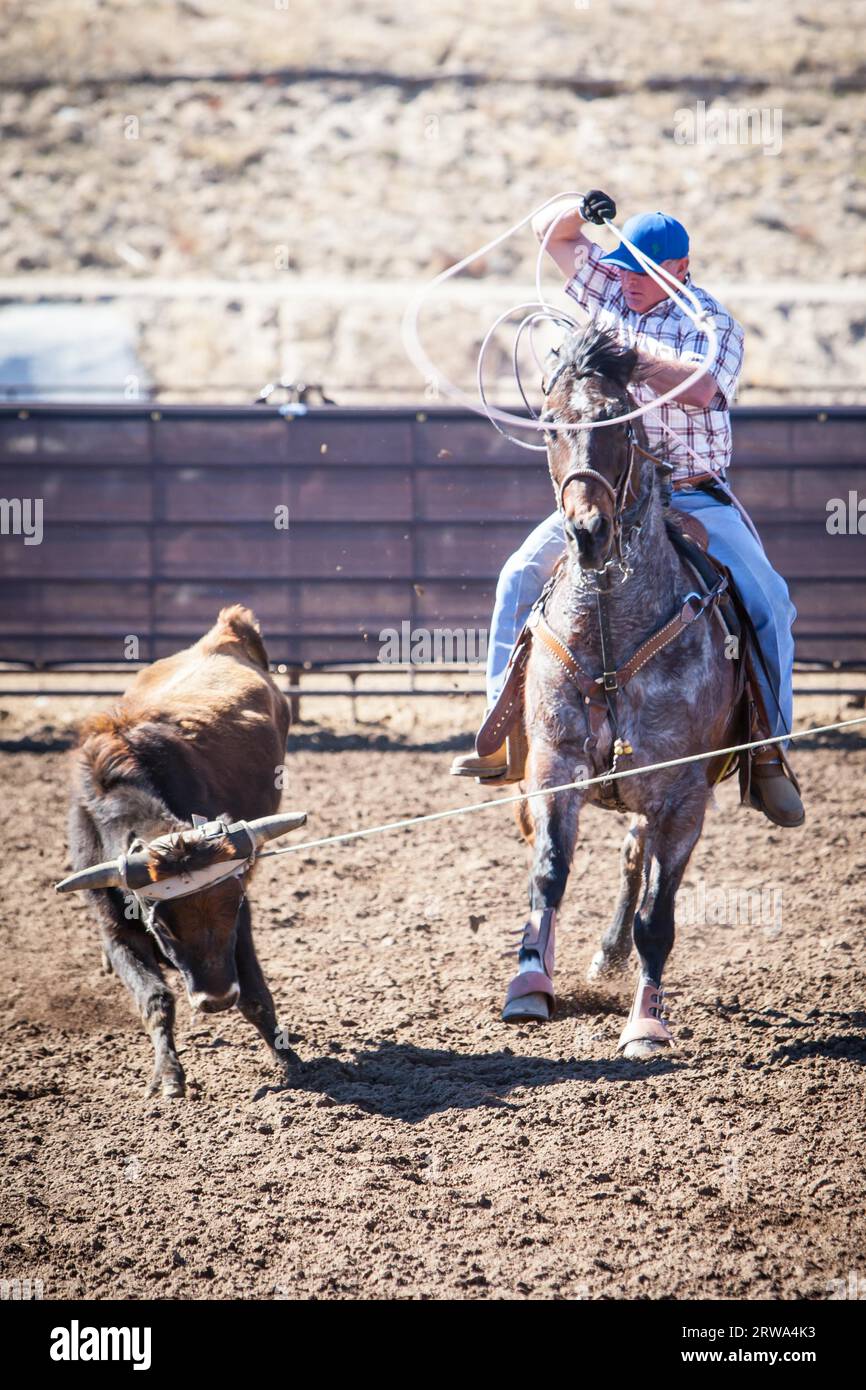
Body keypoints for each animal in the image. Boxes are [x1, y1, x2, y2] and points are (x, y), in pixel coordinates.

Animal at [505, 325, 739, 1056]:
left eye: (618, 419)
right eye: (551, 423)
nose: (587, 531)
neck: (610, 630)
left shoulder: (683, 795)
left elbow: (658, 916)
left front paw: (646, 1023)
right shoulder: (553, 765)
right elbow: (550, 872)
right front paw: (529, 984)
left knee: (639, 862)